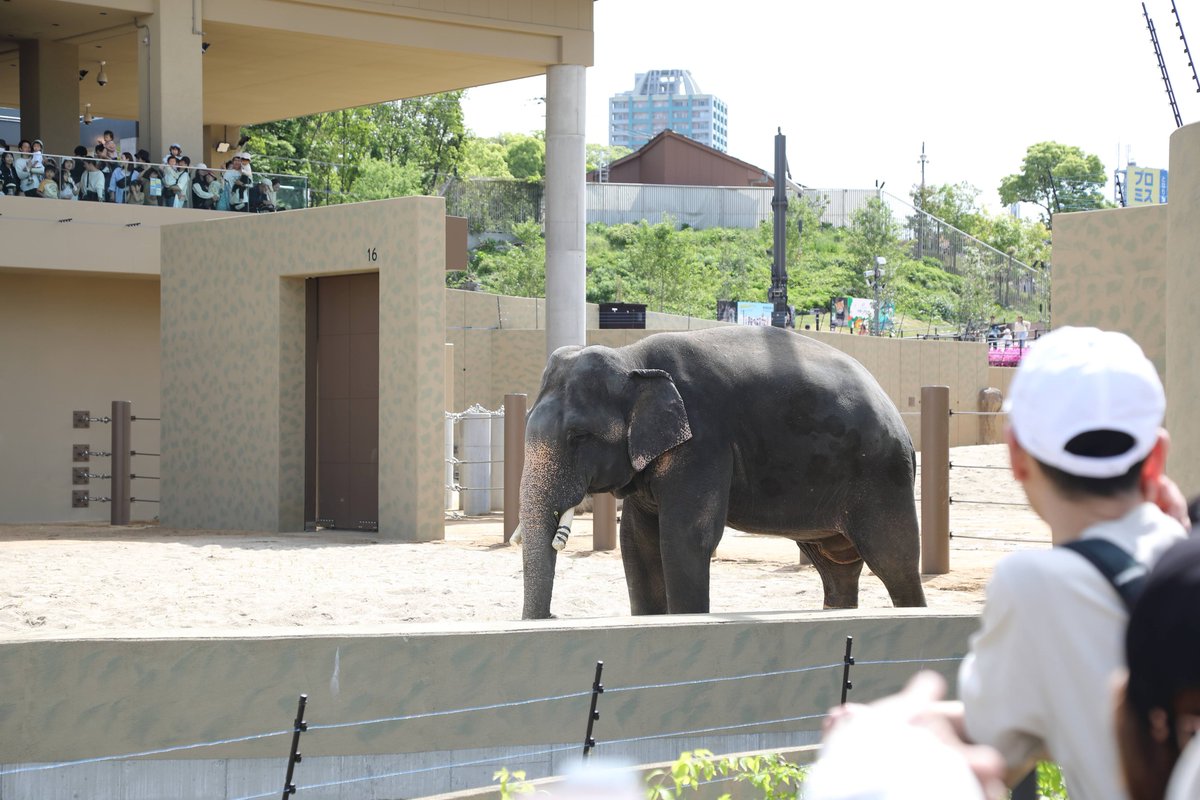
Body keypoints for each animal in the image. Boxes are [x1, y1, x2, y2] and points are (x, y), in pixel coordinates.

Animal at [516, 325, 926, 619]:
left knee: (895, 561)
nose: (552, 617)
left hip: (883, 476)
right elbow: (637, 542)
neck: (632, 358)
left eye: (579, 436)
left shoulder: (702, 441)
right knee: (836, 567)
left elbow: (685, 538)